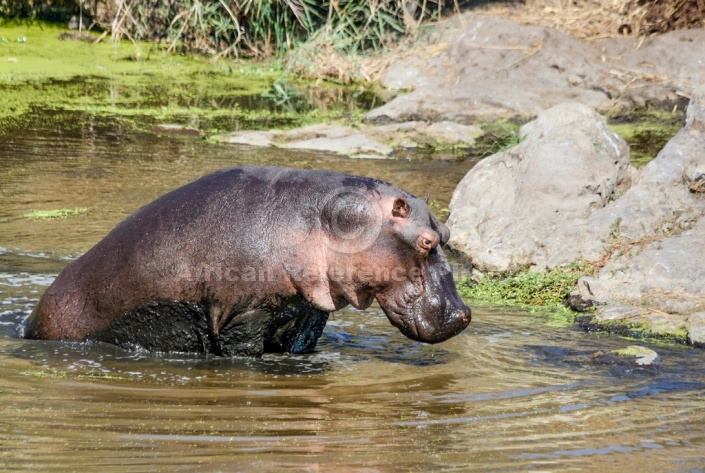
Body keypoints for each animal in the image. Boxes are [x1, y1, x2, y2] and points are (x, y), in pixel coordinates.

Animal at [24, 166, 470, 354]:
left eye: (448, 234)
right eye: (426, 241)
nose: (463, 314)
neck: (329, 221)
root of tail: (29, 324)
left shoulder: (307, 312)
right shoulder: (242, 315)